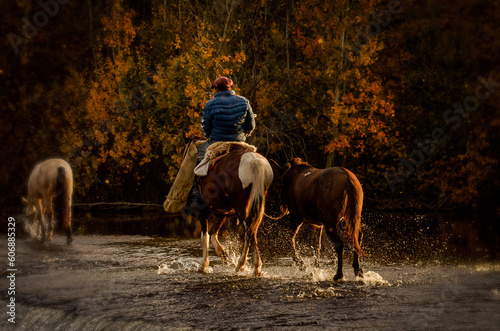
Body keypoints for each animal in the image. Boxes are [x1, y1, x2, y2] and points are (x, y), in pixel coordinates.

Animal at [185, 141, 274, 276]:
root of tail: (255, 162)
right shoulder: (222, 213)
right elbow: (213, 234)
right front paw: (223, 254)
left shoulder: (203, 213)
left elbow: (205, 237)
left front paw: (203, 266)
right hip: (257, 204)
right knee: (251, 231)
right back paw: (250, 267)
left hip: (241, 206)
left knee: (249, 231)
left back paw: (246, 265)